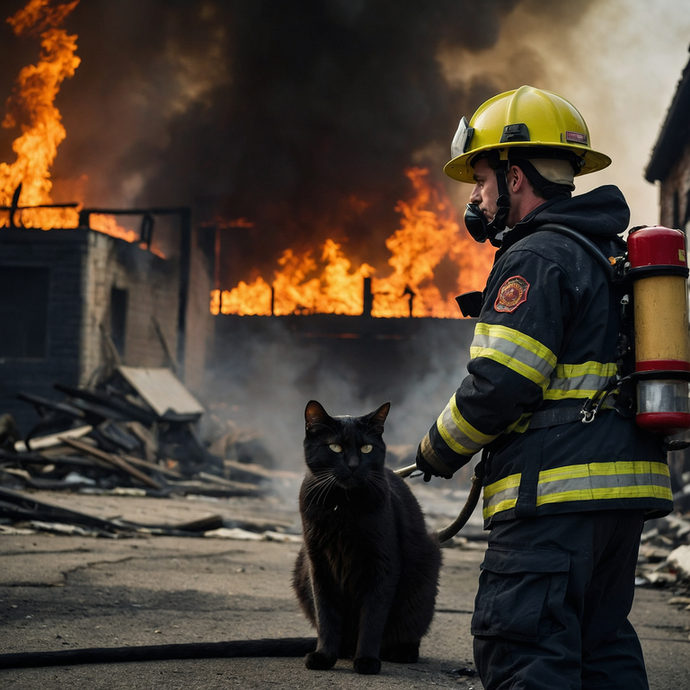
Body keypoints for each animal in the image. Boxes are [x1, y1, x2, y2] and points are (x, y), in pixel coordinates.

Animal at [292, 398, 440, 672]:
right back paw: (343, 650)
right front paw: (324, 656)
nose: (352, 465)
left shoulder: (383, 565)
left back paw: (401, 651)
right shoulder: (319, 566)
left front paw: (367, 660)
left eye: (367, 448)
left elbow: (373, 618)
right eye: (335, 447)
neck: (342, 505)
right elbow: (326, 615)